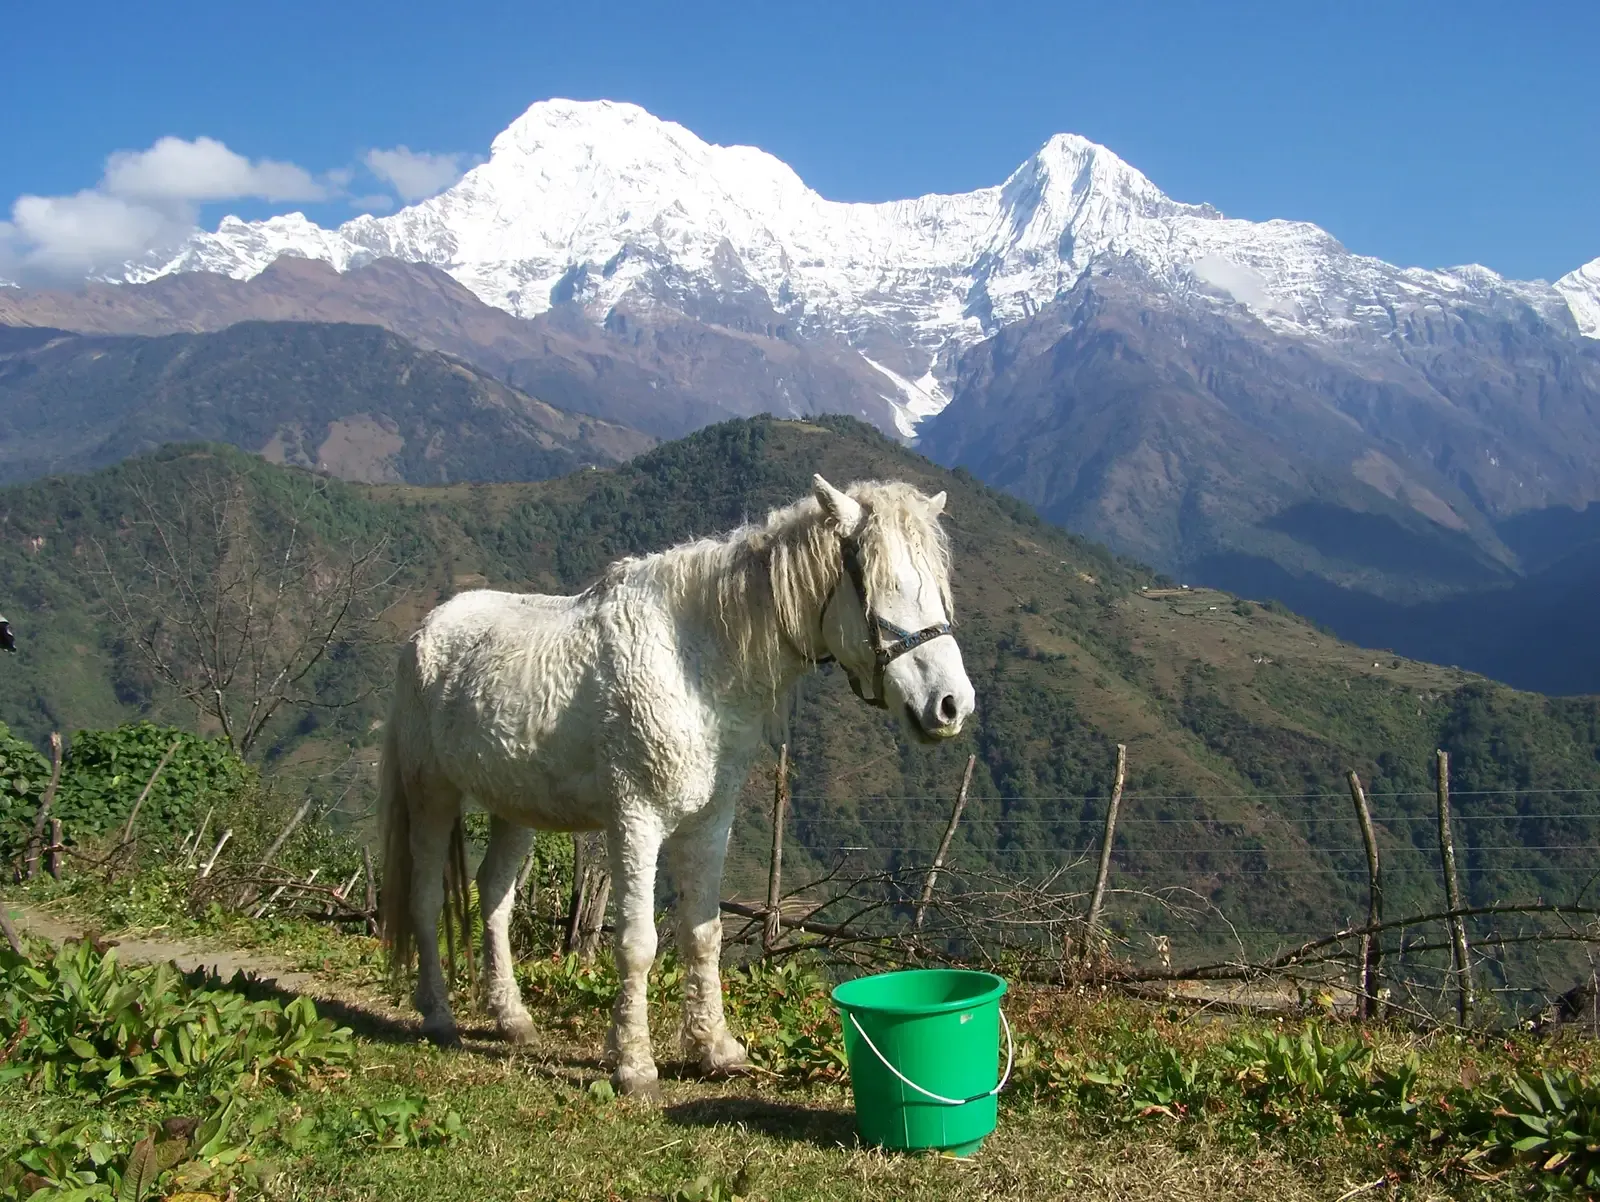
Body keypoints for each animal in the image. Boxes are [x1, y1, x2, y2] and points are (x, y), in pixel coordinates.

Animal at [377, 473, 975, 1098]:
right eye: (888, 587)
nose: (952, 705)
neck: (695, 663)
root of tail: (427, 630)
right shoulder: (635, 821)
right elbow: (637, 944)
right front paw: (635, 1065)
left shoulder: (711, 823)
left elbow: (703, 933)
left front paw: (715, 1049)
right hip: (431, 794)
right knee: (425, 897)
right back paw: (438, 1015)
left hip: (515, 807)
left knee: (494, 897)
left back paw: (512, 1018)